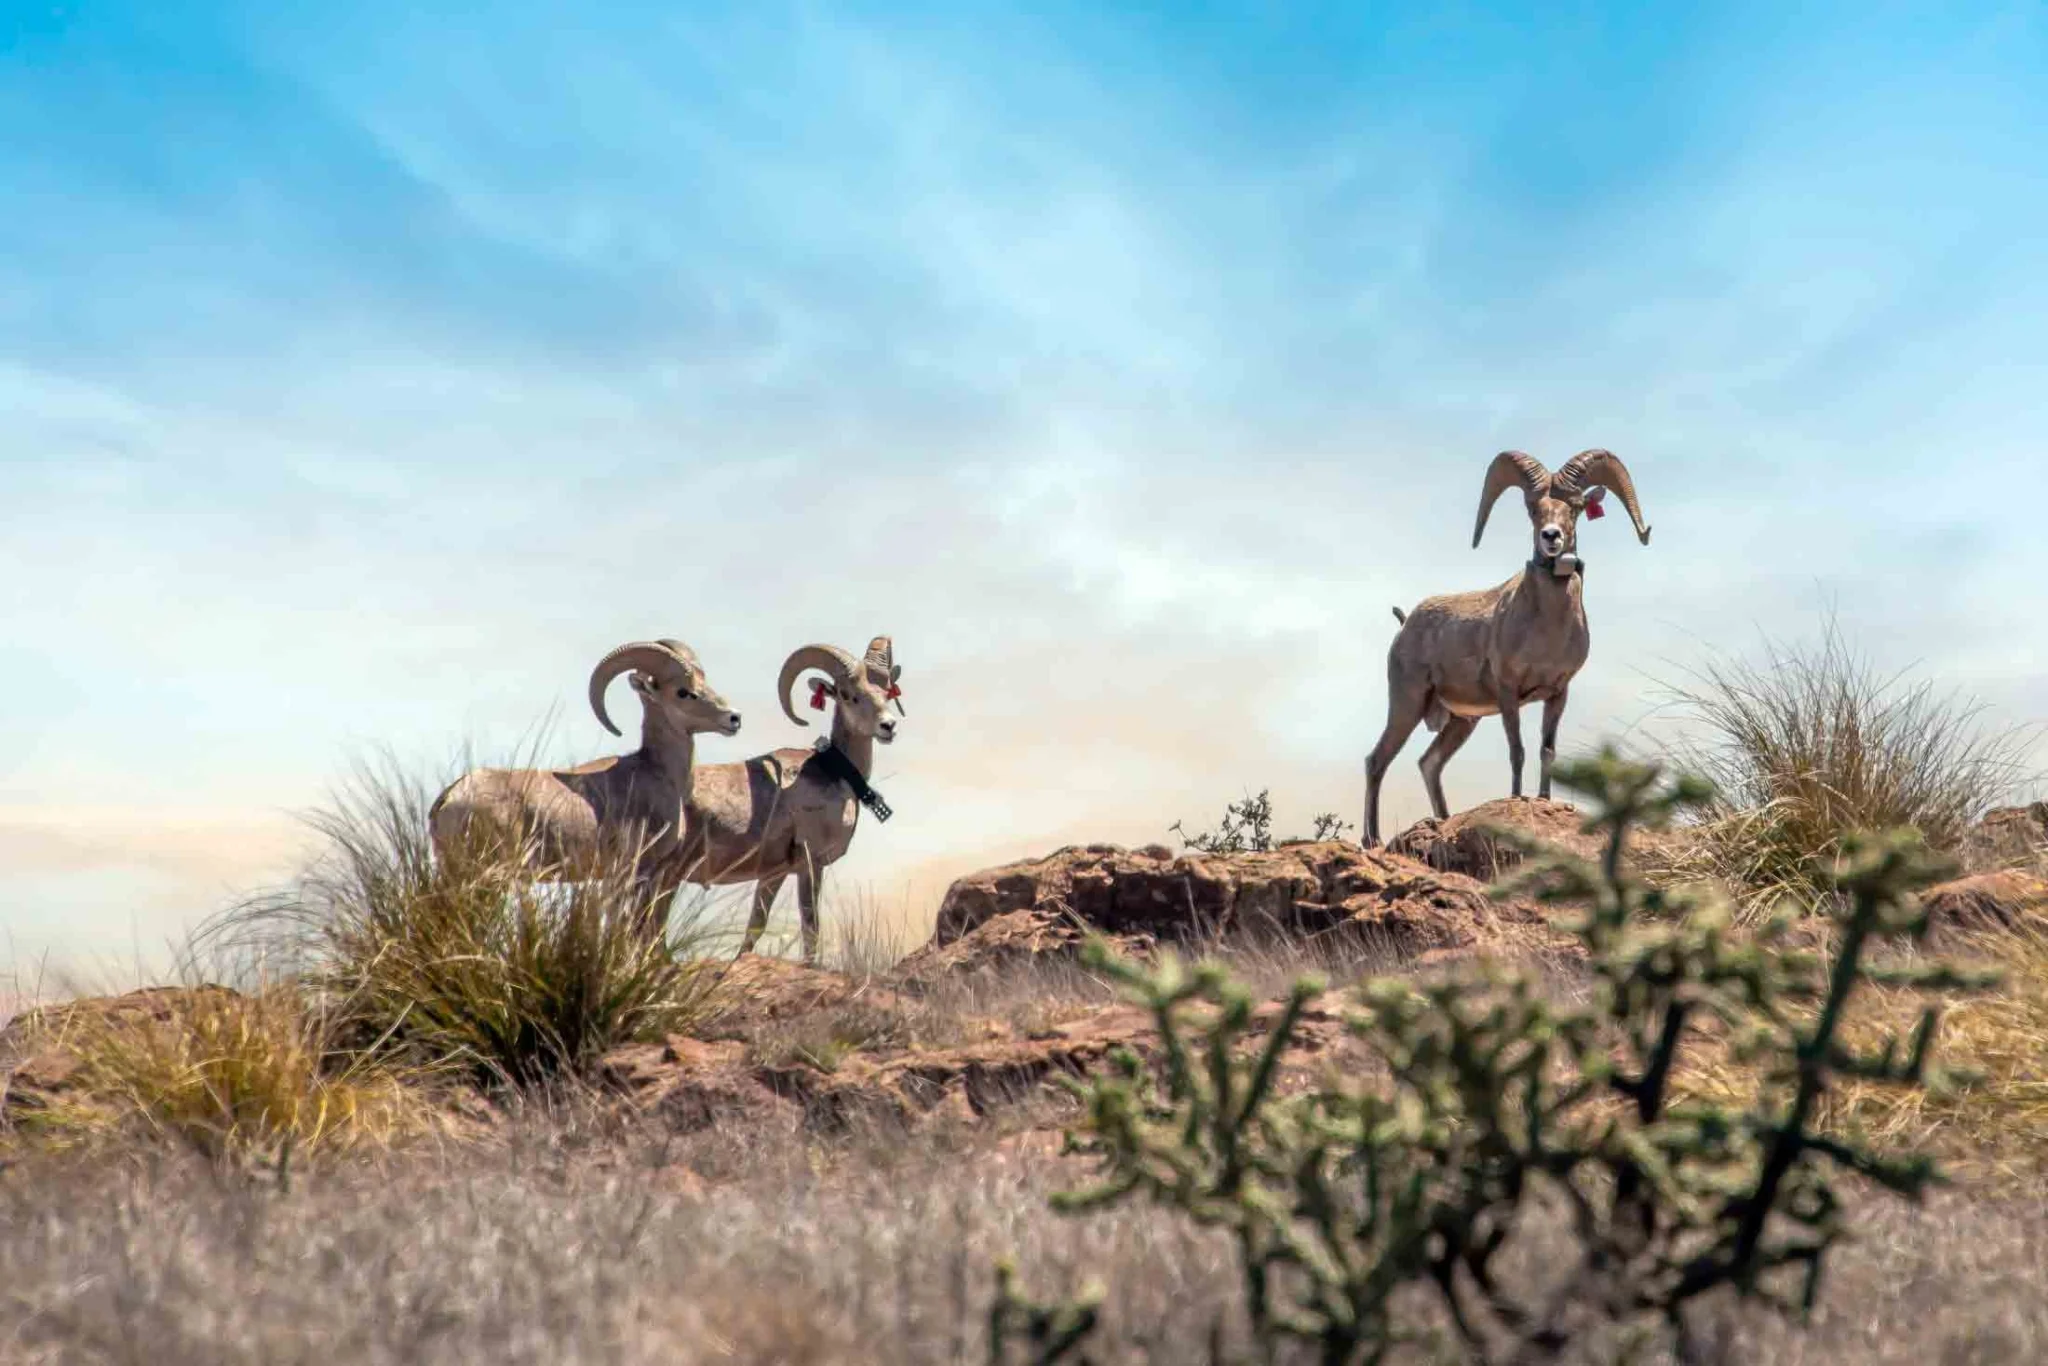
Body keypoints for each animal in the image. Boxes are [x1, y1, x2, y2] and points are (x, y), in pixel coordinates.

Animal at [427, 638, 743, 936]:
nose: (734, 718)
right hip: (484, 874)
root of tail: (450, 797)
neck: (657, 773)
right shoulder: (637, 874)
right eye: (683, 692)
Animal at [672, 635, 904, 967]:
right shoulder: (810, 864)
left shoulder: (773, 874)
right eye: (849, 696)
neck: (834, 773)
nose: (888, 726)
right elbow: (810, 927)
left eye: (886, 693)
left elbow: (755, 928)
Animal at [1361, 448, 1652, 847]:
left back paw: (1444, 821)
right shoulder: (1508, 693)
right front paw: (1516, 799)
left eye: (1576, 506)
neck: (1547, 630)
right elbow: (1518, 751)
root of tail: (1406, 623)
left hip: (1460, 722)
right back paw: (1372, 840)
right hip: (1408, 703)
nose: (1551, 537)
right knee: (1376, 761)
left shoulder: (1557, 694)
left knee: (1429, 763)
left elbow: (1547, 750)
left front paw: (1544, 799)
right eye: (1532, 508)